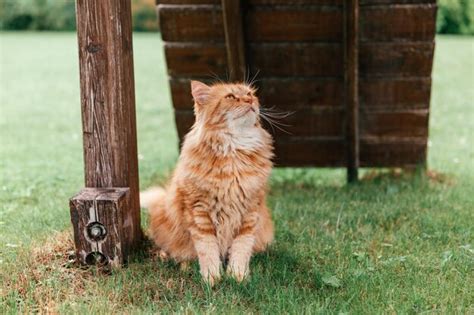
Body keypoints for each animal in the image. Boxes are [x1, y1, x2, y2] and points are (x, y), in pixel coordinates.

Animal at [141, 80, 274, 286]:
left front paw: (238, 277)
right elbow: (207, 250)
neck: (234, 150)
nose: (250, 100)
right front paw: (212, 279)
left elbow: (241, 249)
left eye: (250, 94)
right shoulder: (199, 212)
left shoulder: (250, 211)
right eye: (230, 97)